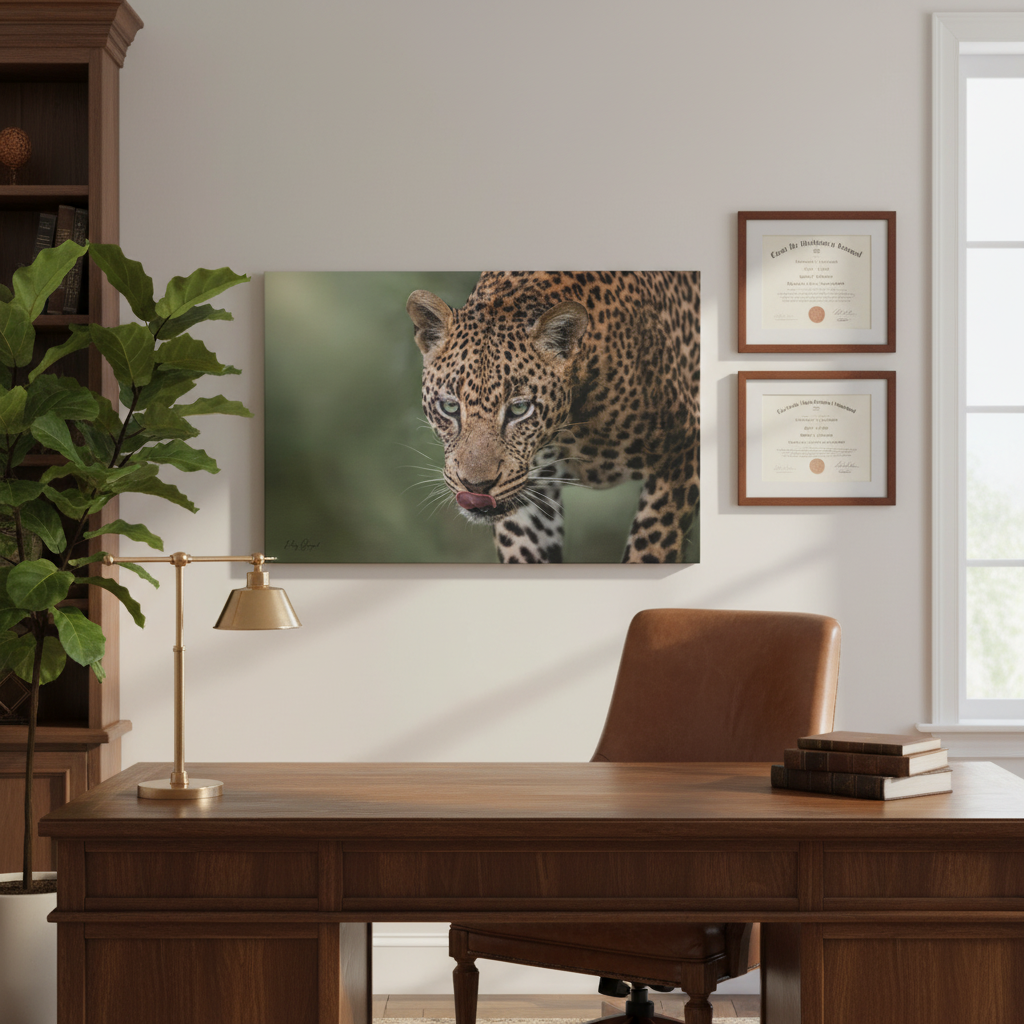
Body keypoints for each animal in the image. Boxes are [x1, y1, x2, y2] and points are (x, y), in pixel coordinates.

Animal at [406, 271, 699, 563]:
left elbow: (652, 546)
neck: (568, 432)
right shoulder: (528, 497)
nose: (476, 487)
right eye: (450, 407)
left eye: (519, 409)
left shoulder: (682, 452)